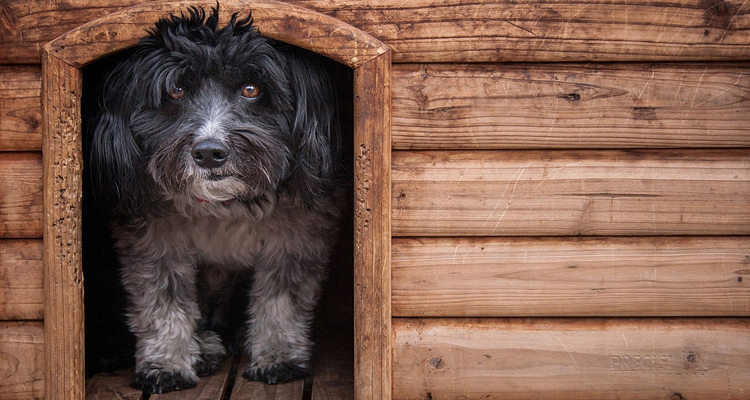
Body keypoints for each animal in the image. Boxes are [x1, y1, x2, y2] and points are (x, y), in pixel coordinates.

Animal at [88, 6, 344, 394]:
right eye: (177, 90)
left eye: (251, 89)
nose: (209, 153)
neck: (225, 206)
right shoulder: (155, 243)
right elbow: (163, 303)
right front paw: (167, 363)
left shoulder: (296, 239)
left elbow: (281, 301)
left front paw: (278, 356)